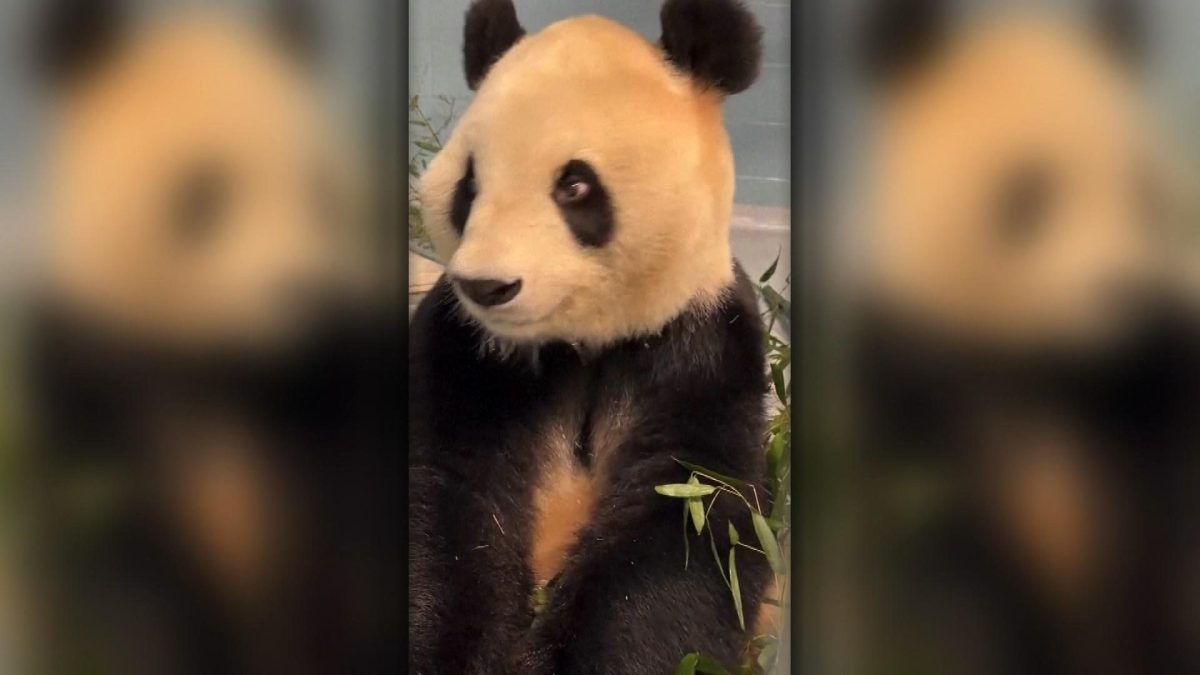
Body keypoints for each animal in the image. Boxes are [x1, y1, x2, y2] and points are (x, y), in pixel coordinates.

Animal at [27, 2, 397, 674]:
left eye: (321, 191)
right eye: (205, 194)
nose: (303, 295)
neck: (230, 362)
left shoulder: (338, 382)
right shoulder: (88, 381)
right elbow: (120, 569)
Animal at [408, 0, 773, 672]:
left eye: (573, 185)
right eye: (469, 185)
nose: (486, 285)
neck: (582, 341)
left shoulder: (702, 345)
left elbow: (684, 528)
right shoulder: (461, 348)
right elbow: (445, 503)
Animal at [851, 1, 1200, 673]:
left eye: (1143, 188)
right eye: (1030, 193)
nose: (1127, 294)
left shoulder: (1159, 378)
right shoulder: (913, 383)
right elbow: (948, 568)